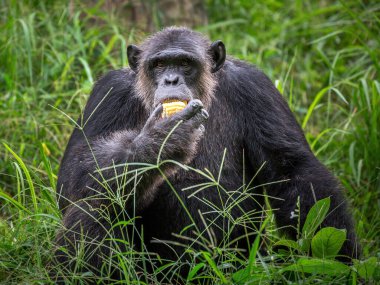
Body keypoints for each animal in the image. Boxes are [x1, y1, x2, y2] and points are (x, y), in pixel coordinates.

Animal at [54, 27, 360, 282]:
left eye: (185, 64)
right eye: (159, 65)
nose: (171, 79)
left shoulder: (256, 87)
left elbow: (293, 170)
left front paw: (337, 265)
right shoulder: (109, 92)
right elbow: (74, 172)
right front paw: (162, 140)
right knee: (93, 205)